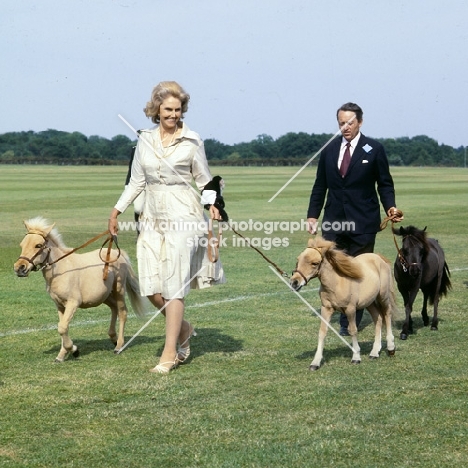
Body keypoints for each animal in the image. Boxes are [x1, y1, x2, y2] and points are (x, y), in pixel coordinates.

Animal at [14, 218, 146, 364]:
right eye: (22, 244)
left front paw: (74, 350)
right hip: (104, 296)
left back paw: (119, 346)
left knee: (122, 312)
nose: (19, 268)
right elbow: (62, 327)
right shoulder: (60, 305)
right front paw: (61, 355)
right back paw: (113, 338)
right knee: (114, 308)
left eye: (38, 245)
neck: (60, 270)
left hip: (119, 290)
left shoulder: (73, 303)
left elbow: (62, 328)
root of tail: (120, 254)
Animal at [288, 236, 394, 372]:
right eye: (298, 260)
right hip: (369, 302)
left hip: (382, 297)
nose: (294, 283)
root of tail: (379, 258)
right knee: (378, 318)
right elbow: (322, 332)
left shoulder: (350, 309)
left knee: (387, 315)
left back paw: (391, 348)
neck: (337, 283)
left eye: (314, 263)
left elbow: (352, 330)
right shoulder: (326, 309)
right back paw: (374, 353)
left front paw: (356, 357)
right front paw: (315, 363)